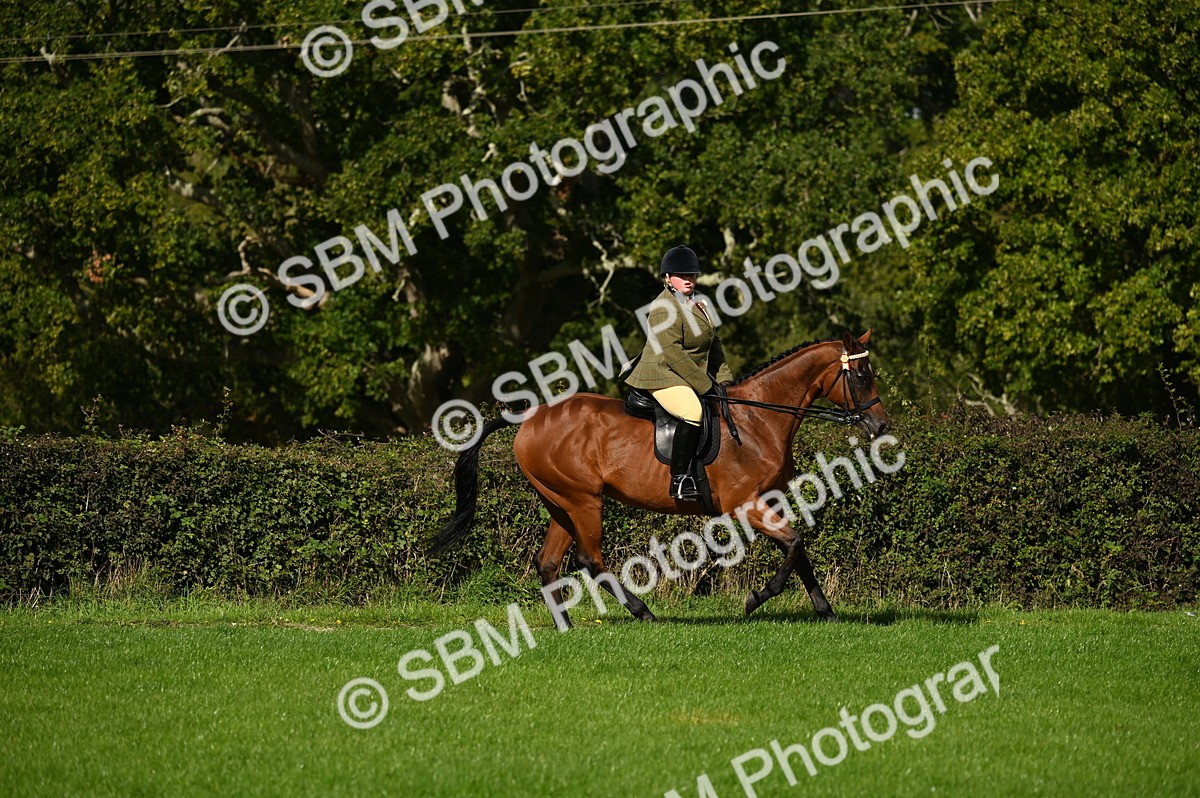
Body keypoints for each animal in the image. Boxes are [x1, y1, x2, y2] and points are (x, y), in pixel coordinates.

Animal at [430, 329, 890, 627]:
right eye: (862, 376)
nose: (881, 426)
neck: (759, 418)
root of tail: (528, 418)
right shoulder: (745, 505)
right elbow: (795, 545)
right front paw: (755, 599)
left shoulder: (771, 501)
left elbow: (799, 551)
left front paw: (825, 610)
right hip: (584, 500)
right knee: (589, 560)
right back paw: (643, 612)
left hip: (559, 503)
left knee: (548, 562)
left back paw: (566, 628)